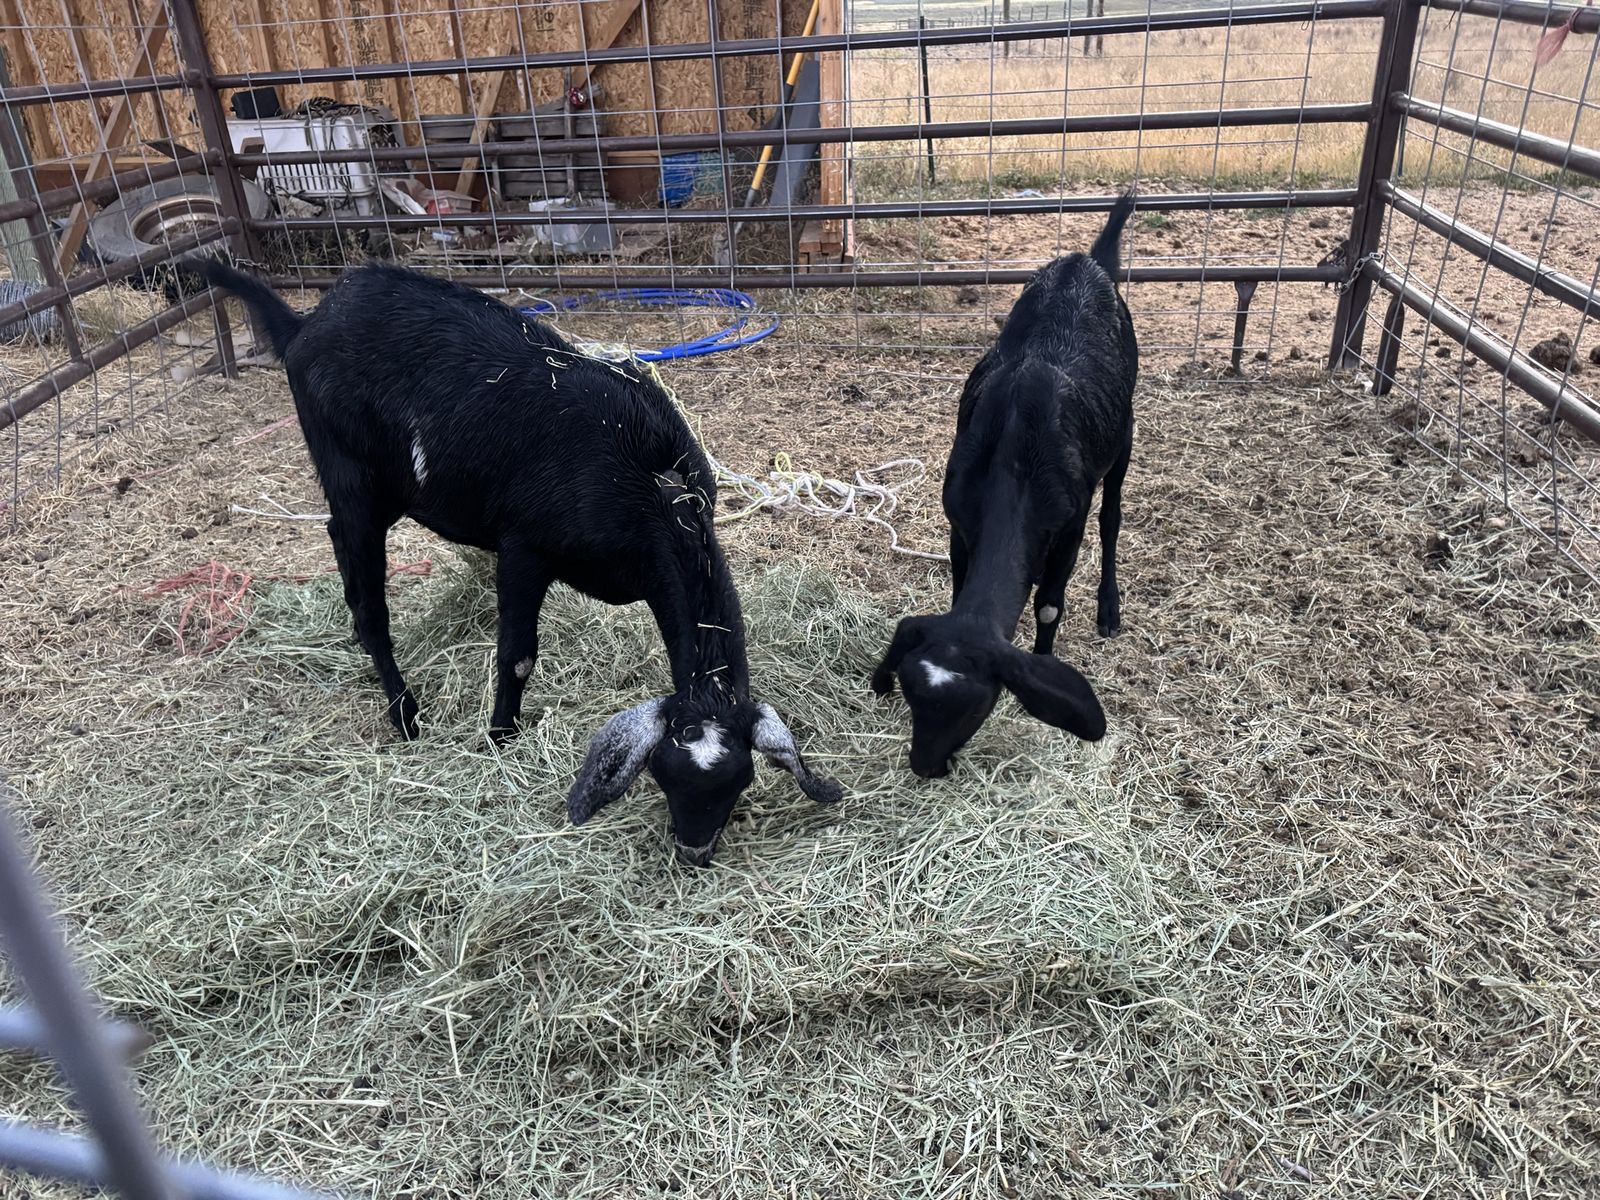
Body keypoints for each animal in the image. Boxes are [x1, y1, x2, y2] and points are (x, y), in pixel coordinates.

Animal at [197, 261, 840, 866]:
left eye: (740, 780)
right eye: (661, 772)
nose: (694, 851)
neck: (649, 481)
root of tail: (306, 324)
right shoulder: (524, 548)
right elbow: (518, 656)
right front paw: (500, 738)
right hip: (351, 478)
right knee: (365, 597)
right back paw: (404, 714)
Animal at [870, 193, 1138, 778]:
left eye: (979, 708)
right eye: (910, 694)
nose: (925, 765)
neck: (1016, 458)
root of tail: (1088, 261)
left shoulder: (1066, 527)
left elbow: (1050, 605)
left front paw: (1043, 661)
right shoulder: (958, 519)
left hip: (1126, 431)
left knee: (1112, 517)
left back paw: (1109, 608)